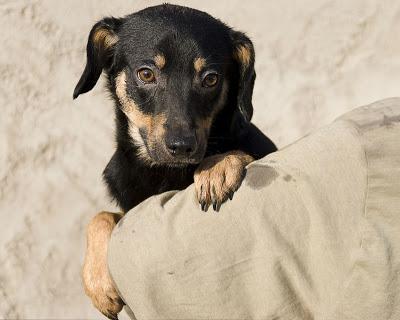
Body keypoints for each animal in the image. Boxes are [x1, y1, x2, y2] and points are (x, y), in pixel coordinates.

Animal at [73, 3, 276, 318]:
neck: (165, 173)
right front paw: (97, 282)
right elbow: (100, 216)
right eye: (146, 74)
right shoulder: (132, 208)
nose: (182, 147)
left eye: (211, 79)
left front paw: (216, 168)